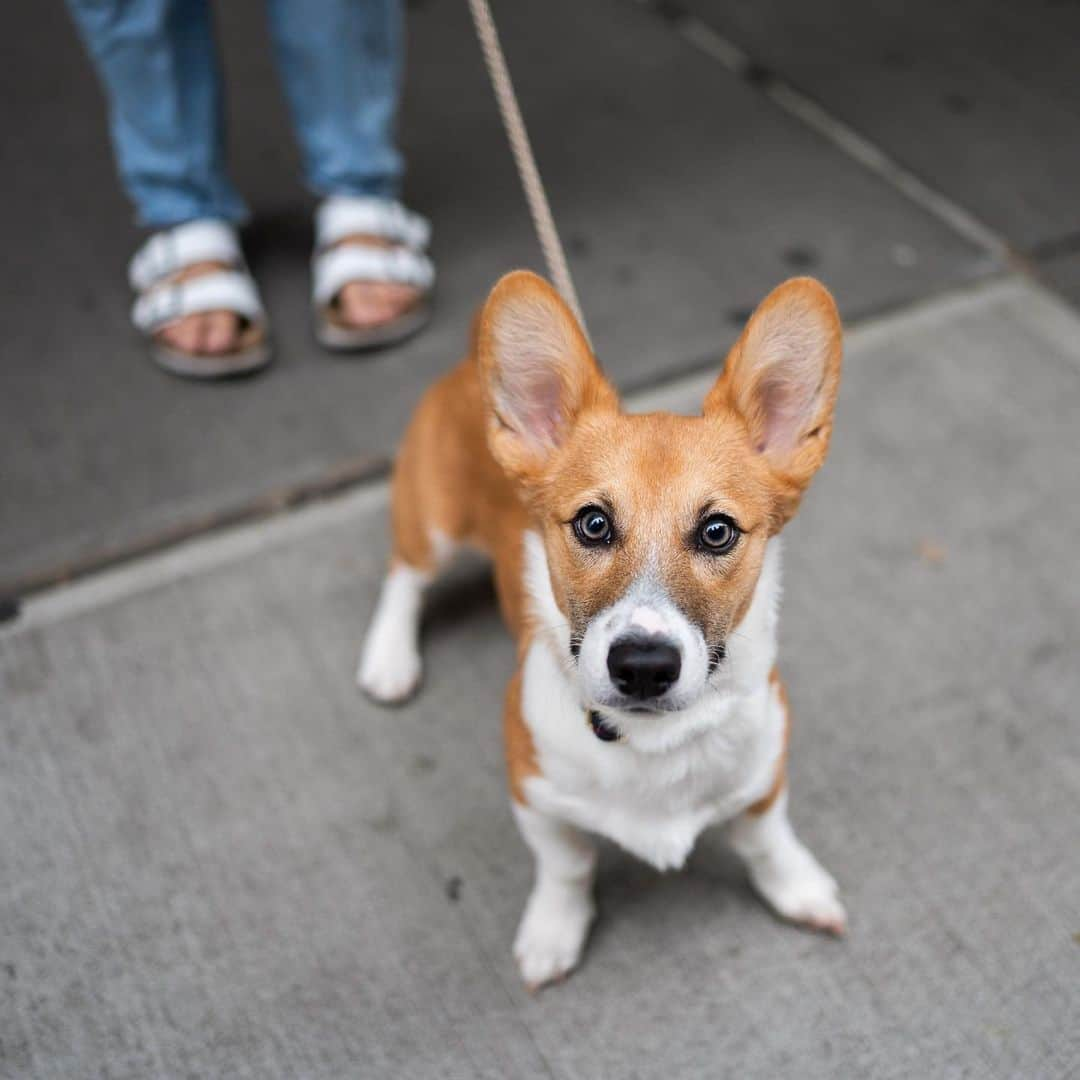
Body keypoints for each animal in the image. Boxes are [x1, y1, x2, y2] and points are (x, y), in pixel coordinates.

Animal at [358, 270, 846, 989]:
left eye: (717, 531)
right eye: (593, 524)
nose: (642, 666)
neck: (653, 739)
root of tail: (468, 363)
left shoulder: (764, 774)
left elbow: (767, 841)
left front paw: (800, 888)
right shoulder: (535, 797)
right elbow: (567, 868)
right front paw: (552, 933)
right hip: (434, 521)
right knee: (405, 575)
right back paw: (389, 659)